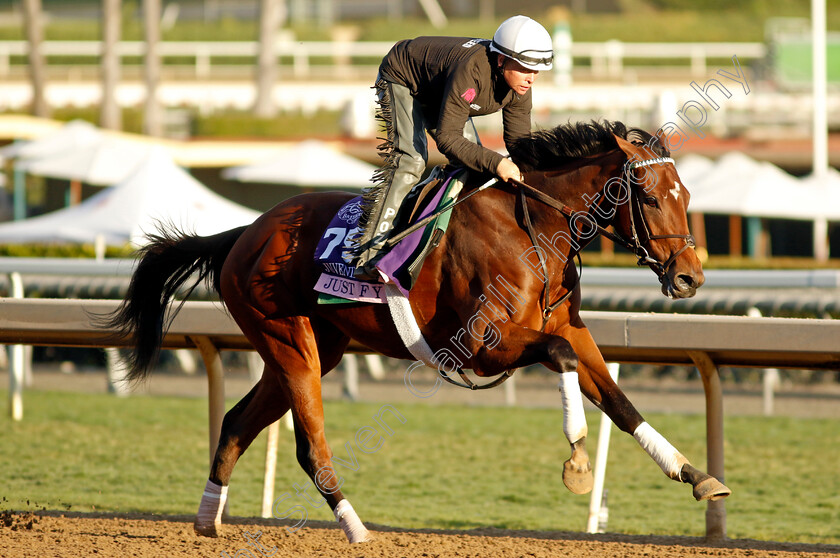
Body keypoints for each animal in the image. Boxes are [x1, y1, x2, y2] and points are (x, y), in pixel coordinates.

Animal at [105, 120, 732, 544]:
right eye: (648, 196)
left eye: (687, 197)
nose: (690, 277)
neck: (534, 227)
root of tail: (244, 231)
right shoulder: (482, 346)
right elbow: (561, 359)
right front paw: (577, 459)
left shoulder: (569, 328)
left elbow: (619, 401)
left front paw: (695, 474)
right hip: (287, 341)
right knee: (310, 445)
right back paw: (356, 528)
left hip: (315, 347)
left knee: (237, 422)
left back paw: (208, 521)